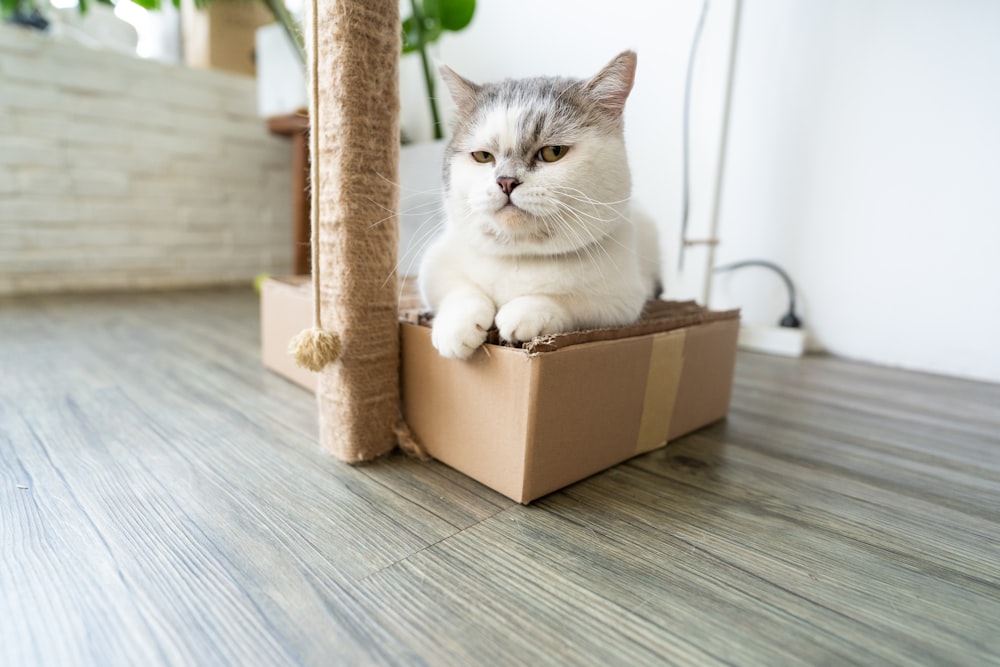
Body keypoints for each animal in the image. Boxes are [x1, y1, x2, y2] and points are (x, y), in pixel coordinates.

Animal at [418, 52, 660, 362]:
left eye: (553, 152)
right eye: (483, 156)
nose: (506, 181)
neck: (522, 256)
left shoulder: (623, 299)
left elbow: (572, 303)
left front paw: (524, 313)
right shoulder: (433, 268)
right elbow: (458, 290)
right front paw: (456, 329)